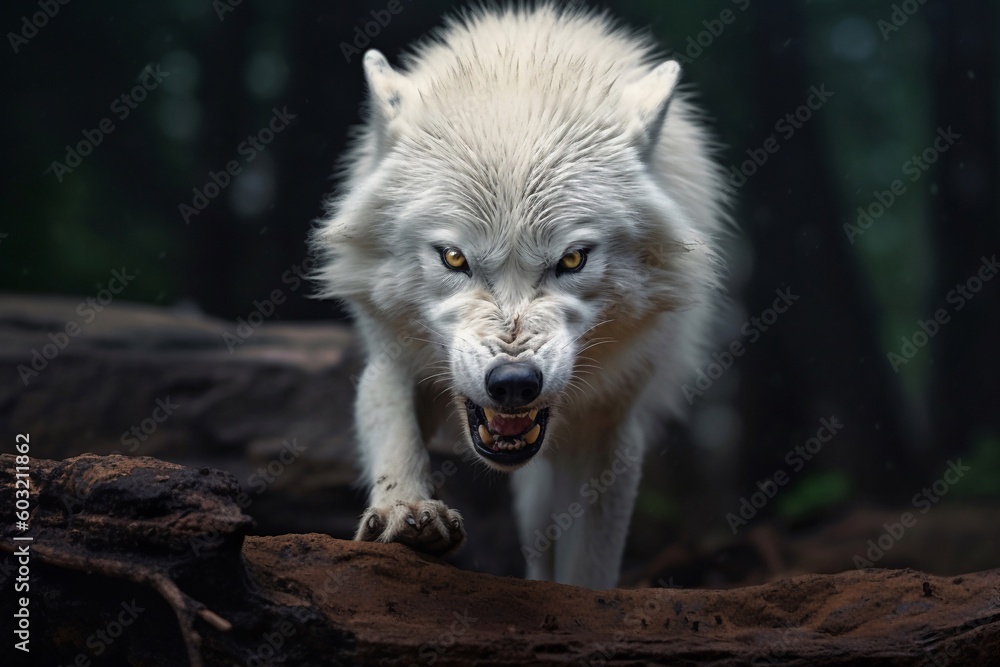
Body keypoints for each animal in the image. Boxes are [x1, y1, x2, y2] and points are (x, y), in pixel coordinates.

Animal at [312, 3, 728, 589]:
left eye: (572, 259)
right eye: (454, 258)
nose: (512, 383)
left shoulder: (610, 428)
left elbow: (588, 566)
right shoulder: (390, 356)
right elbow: (394, 431)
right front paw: (406, 512)